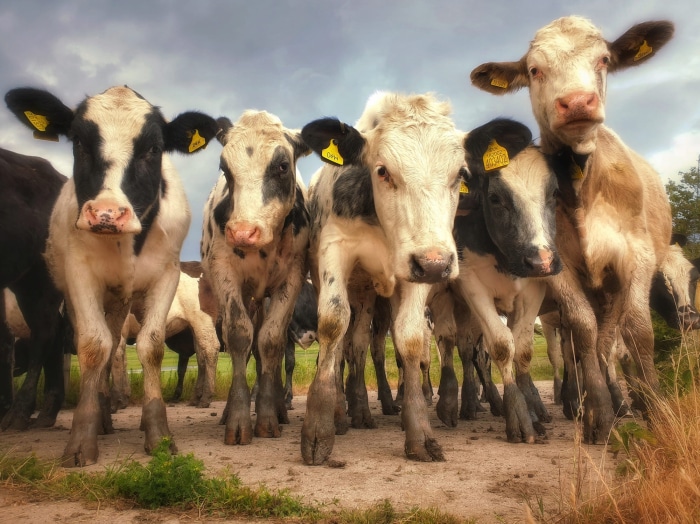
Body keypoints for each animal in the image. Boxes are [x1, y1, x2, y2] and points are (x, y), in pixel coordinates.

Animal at [5, 85, 219, 466]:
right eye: (78, 141)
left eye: (154, 148)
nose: (106, 214)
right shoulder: (80, 276)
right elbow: (94, 347)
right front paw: (82, 437)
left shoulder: (165, 275)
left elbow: (151, 347)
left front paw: (157, 432)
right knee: (103, 345)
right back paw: (102, 417)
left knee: (205, 349)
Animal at [200, 110, 311, 446]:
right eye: (225, 167)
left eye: (282, 166)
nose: (243, 232)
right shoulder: (225, 274)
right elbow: (239, 338)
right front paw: (238, 418)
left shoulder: (292, 279)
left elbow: (271, 341)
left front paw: (267, 417)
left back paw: (278, 408)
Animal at [300, 91, 466, 464]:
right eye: (383, 170)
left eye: (461, 174)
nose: (436, 265)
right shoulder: (335, 250)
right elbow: (332, 324)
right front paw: (319, 429)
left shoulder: (416, 269)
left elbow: (411, 341)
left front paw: (419, 433)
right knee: (345, 346)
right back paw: (341, 413)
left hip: (369, 295)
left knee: (361, 344)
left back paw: (363, 410)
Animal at [470, 16, 675, 442]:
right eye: (535, 69)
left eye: (603, 59)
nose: (578, 102)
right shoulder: (558, 266)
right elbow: (582, 332)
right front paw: (598, 414)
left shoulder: (637, 257)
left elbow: (638, 332)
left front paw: (654, 410)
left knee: (610, 340)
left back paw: (626, 399)